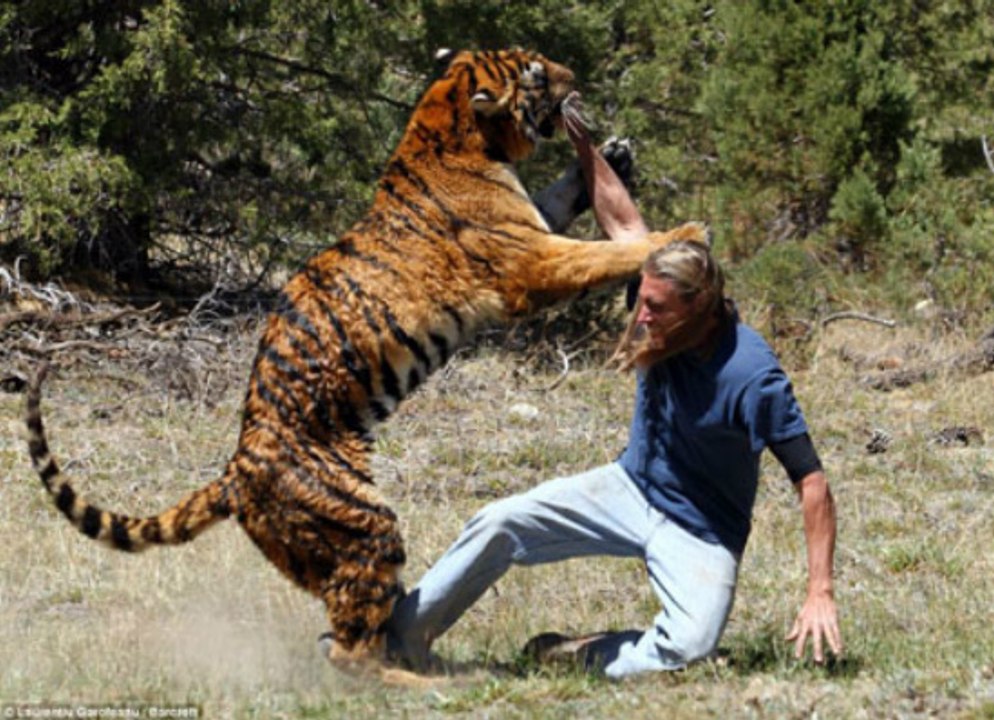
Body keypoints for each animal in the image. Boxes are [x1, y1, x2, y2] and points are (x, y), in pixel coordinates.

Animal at [25, 48, 708, 668]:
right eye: (537, 74)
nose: (574, 81)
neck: (453, 130)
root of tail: (236, 472)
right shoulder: (528, 261)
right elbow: (601, 255)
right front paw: (682, 234)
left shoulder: (533, 225)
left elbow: (563, 197)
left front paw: (613, 157)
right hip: (364, 524)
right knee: (351, 653)